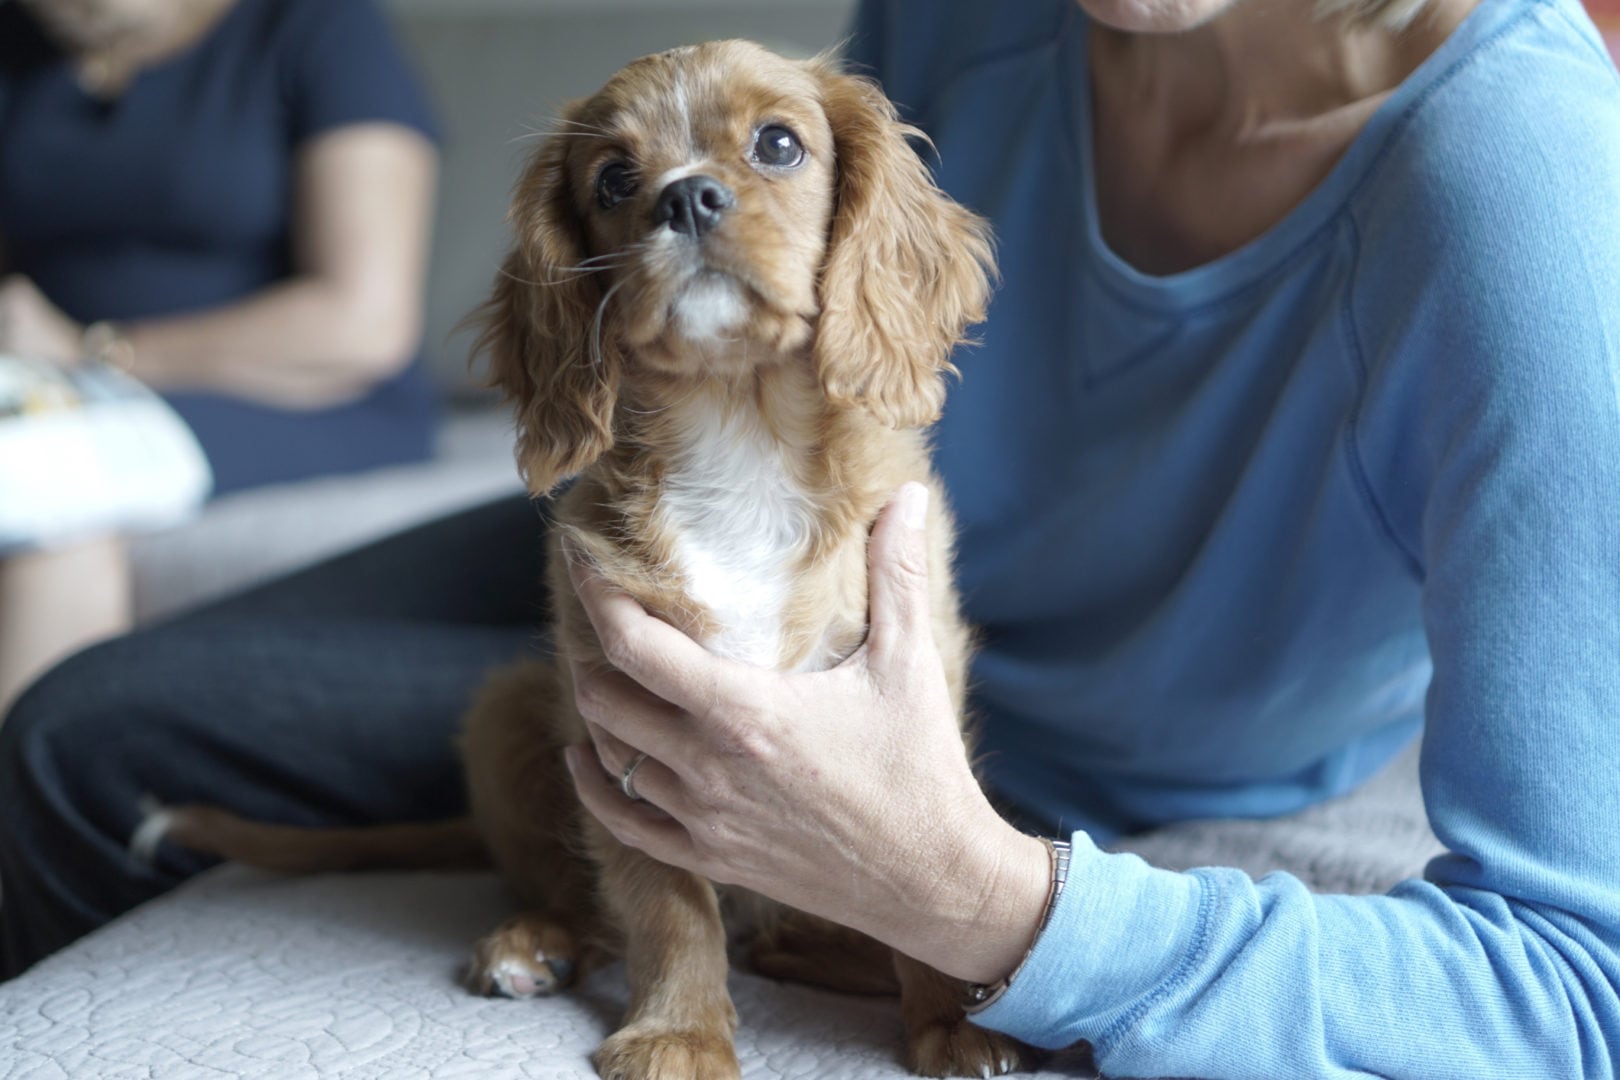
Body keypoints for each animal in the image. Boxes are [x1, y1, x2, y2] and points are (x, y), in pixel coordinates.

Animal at [167, 40, 1023, 1080]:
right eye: (614, 179)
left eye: (779, 144)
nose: (687, 196)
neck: (739, 433)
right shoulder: (621, 722)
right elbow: (665, 904)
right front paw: (679, 1033)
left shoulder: (914, 679)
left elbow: (914, 870)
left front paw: (950, 1022)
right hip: (505, 709)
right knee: (588, 902)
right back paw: (534, 941)